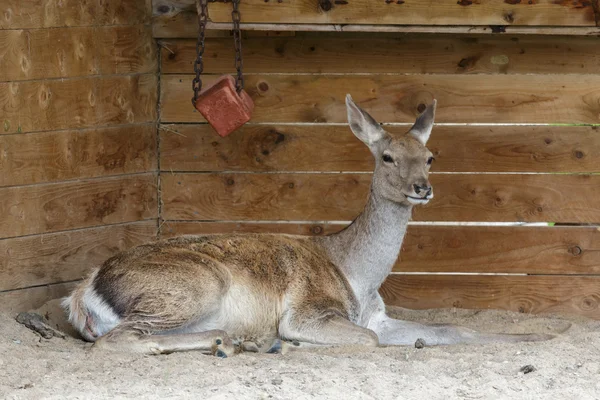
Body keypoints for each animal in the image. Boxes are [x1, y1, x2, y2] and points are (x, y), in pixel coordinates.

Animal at [62, 96, 552, 356]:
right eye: (387, 156)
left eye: (430, 157)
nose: (422, 188)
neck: (357, 276)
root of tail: (81, 293)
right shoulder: (307, 313)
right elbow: (368, 340)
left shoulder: (380, 316)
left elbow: (456, 330)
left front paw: (540, 334)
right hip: (191, 286)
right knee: (117, 339)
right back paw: (236, 342)